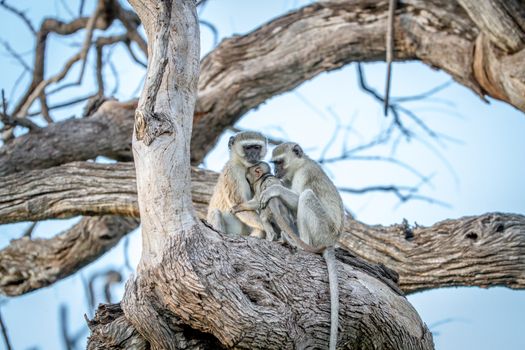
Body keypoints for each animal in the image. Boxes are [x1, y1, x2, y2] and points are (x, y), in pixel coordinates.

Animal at [258, 142, 344, 350]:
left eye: (279, 162)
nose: (275, 171)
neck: (300, 164)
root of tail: (331, 242)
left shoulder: (304, 173)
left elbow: (297, 200)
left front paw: (272, 191)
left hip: (322, 229)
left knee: (305, 196)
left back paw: (301, 244)